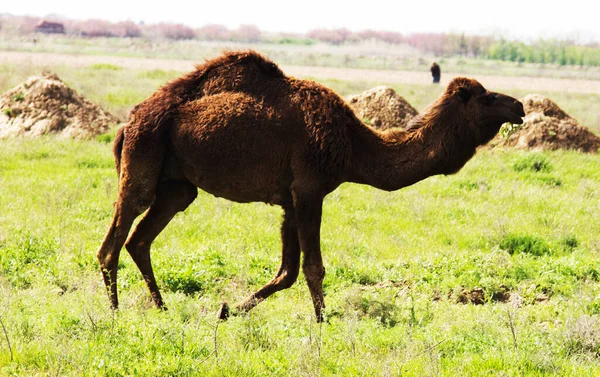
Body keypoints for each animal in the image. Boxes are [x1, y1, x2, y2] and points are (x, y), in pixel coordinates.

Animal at [96, 50, 524, 320]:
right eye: (486, 98)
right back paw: (115, 314)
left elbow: (286, 271)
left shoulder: (288, 200)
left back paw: (162, 308)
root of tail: (128, 123)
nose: (519, 106)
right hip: (143, 157)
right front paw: (323, 324)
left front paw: (227, 311)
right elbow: (312, 266)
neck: (352, 145)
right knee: (113, 241)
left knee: (140, 239)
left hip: (177, 186)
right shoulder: (309, 191)